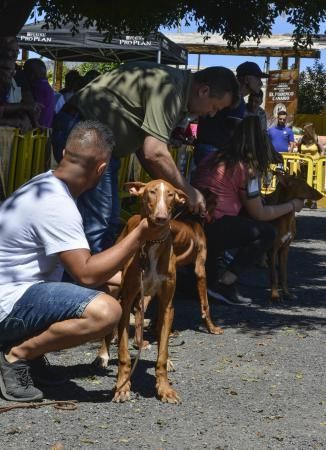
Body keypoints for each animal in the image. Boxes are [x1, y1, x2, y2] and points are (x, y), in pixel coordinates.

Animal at [107, 179, 222, 404]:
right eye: (151, 192)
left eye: (170, 195)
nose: (161, 217)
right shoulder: (128, 300)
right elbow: (124, 355)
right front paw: (122, 387)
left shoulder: (167, 304)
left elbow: (162, 349)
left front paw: (164, 388)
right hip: (118, 286)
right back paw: (103, 355)